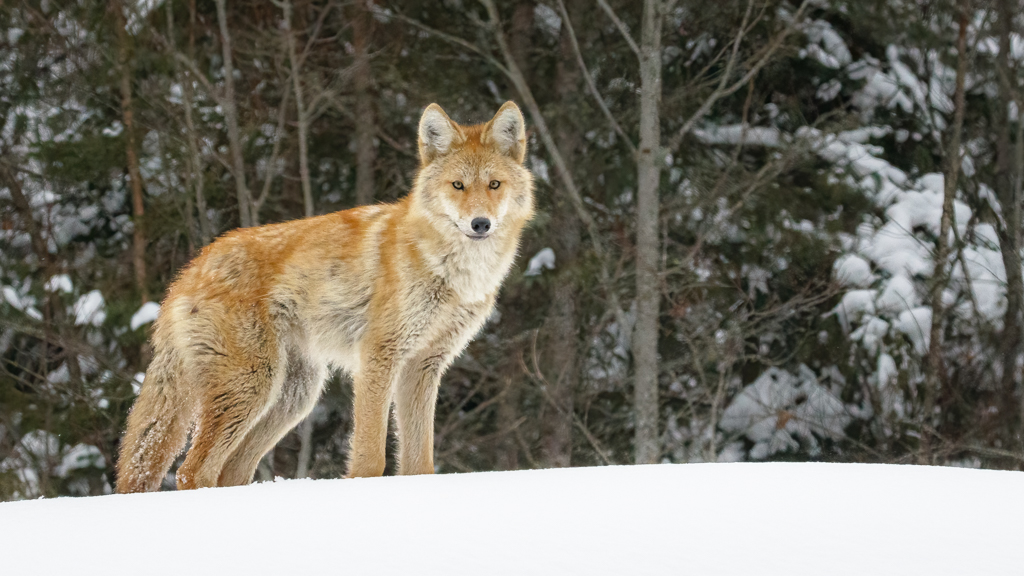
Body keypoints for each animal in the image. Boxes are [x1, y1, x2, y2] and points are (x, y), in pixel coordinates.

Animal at [116, 101, 534, 492]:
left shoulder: (423, 366)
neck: (451, 270)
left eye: (494, 185)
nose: (480, 224)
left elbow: (420, 463)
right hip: (253, 387)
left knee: (228, 471)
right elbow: (370, 458)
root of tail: (190, 269)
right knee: (191, 471)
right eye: (458, 186)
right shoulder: (379, 358)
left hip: (293, 397)